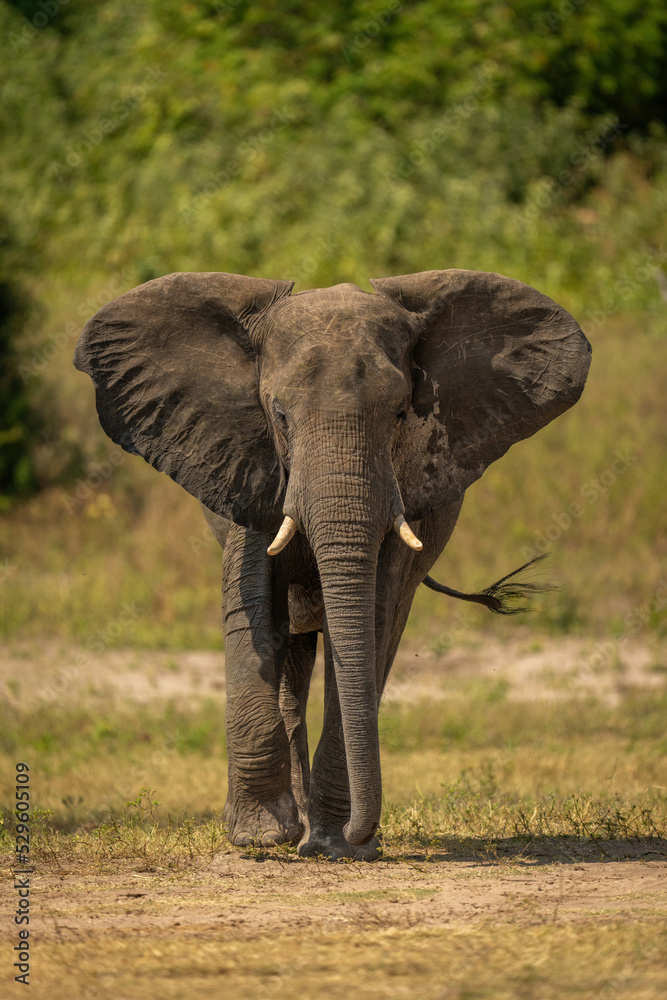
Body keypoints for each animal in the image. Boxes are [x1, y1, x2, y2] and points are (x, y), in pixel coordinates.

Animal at [74, 268, 591, 860]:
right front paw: (260, 838)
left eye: (400, 414)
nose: (358, 837)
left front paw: (334, 843)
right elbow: (252, 609)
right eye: (278, 415)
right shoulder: (250, 468)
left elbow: (372, 618)